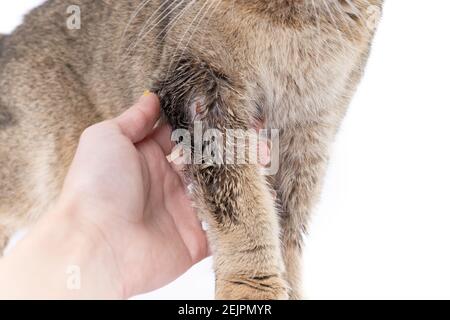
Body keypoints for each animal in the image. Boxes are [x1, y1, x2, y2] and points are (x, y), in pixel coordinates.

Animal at [0, 0, 382, 300]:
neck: (292, 22)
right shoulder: (201, 88)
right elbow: (242, 208)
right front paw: (251, 287)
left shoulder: (311, 128)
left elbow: (288, 226)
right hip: (41, 161)